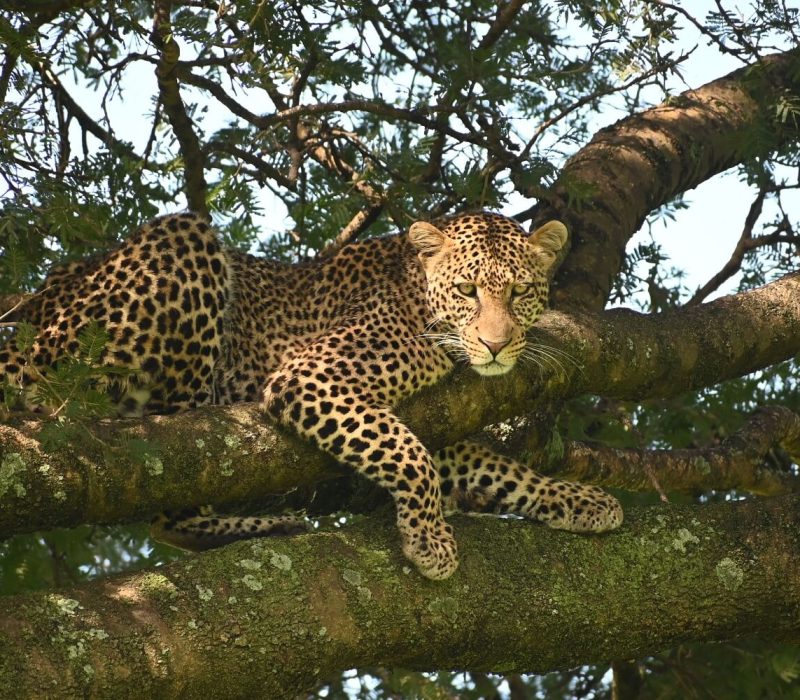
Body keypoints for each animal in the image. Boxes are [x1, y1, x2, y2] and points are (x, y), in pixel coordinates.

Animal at [0, 211, 622, 579]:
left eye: (519, 293)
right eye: (468, 290)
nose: (494, 345)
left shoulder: (424, 418)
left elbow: (493, 468)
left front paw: (577, 499)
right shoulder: (312, 376)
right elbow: (412, 457)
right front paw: (430, 543)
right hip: (176, 250)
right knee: (176, 491)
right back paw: (266, 523)